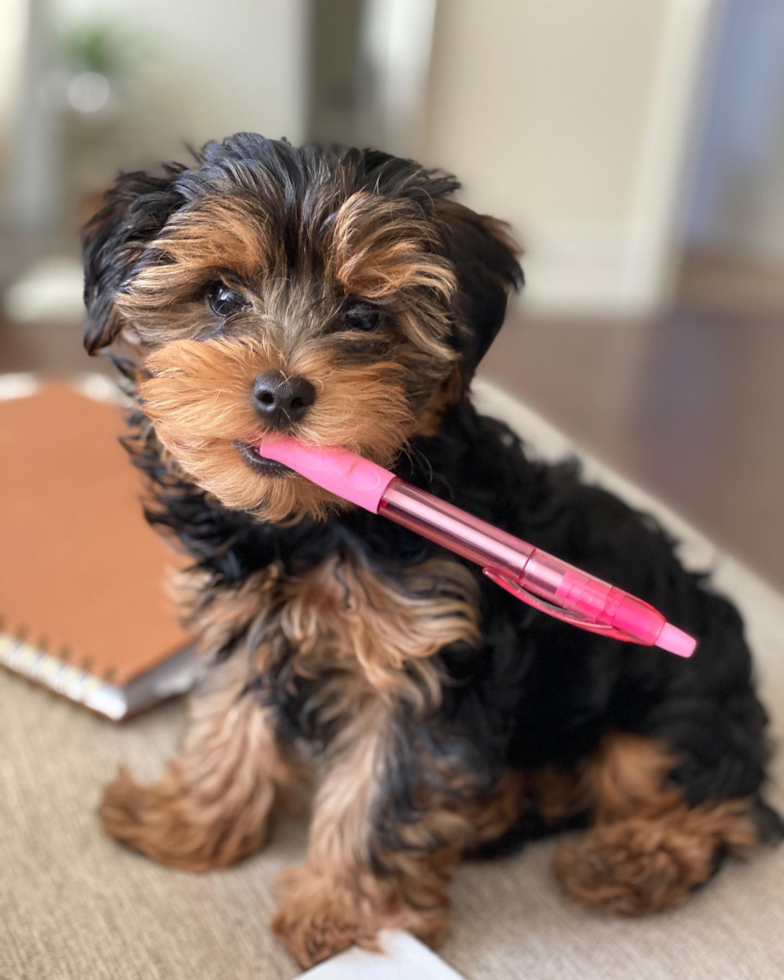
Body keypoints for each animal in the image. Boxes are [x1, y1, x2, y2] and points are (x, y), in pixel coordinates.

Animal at [82, 134, 780, 968]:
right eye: (221, 296)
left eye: (364, 314)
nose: (280, 393)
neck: (315, 522)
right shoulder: (248, 618)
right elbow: (229, 717)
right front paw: (192, 820)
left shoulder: (426, 659)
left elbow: (381, 788)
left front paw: (341, 916)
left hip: (673, 702)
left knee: (711, 794)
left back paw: (634, 859)